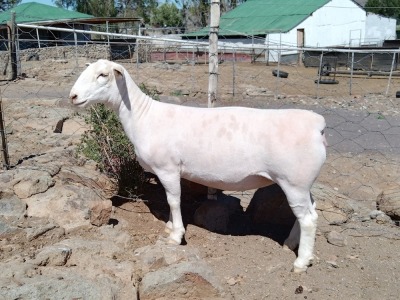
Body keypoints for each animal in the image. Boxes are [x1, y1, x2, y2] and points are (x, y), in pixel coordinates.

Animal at [69, 59, 326, 274]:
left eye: (103, 75)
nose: (72, 96)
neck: (142, 115)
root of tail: (317, 124)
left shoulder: (168, 168)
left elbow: (173, 201)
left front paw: (176, 235)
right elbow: (170, 200)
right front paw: (170, 226)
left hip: (293, 180)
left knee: (308, 219)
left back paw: (301, 262)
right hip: (302, 183)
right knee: (311, 210)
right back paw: (291, 244)